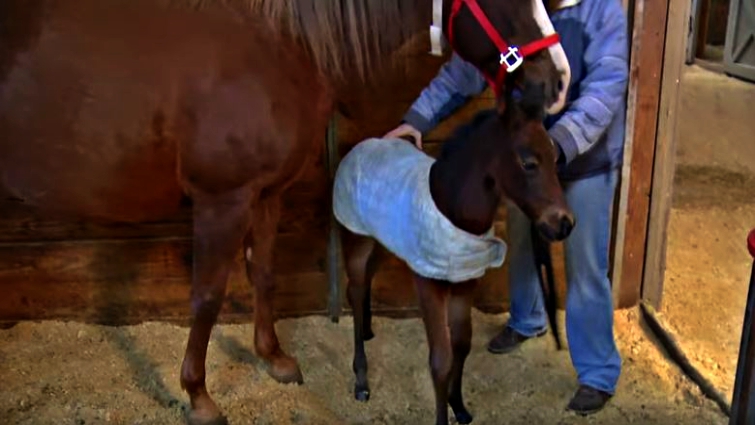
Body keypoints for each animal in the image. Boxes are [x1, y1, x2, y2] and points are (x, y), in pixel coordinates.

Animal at [0, 0, 570, 424]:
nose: (557, 81)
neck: (279, 46)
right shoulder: (222, 200)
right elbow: (207, 296)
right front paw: (199, 396)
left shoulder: (265, 194)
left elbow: (264, 274)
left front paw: (274, 358)